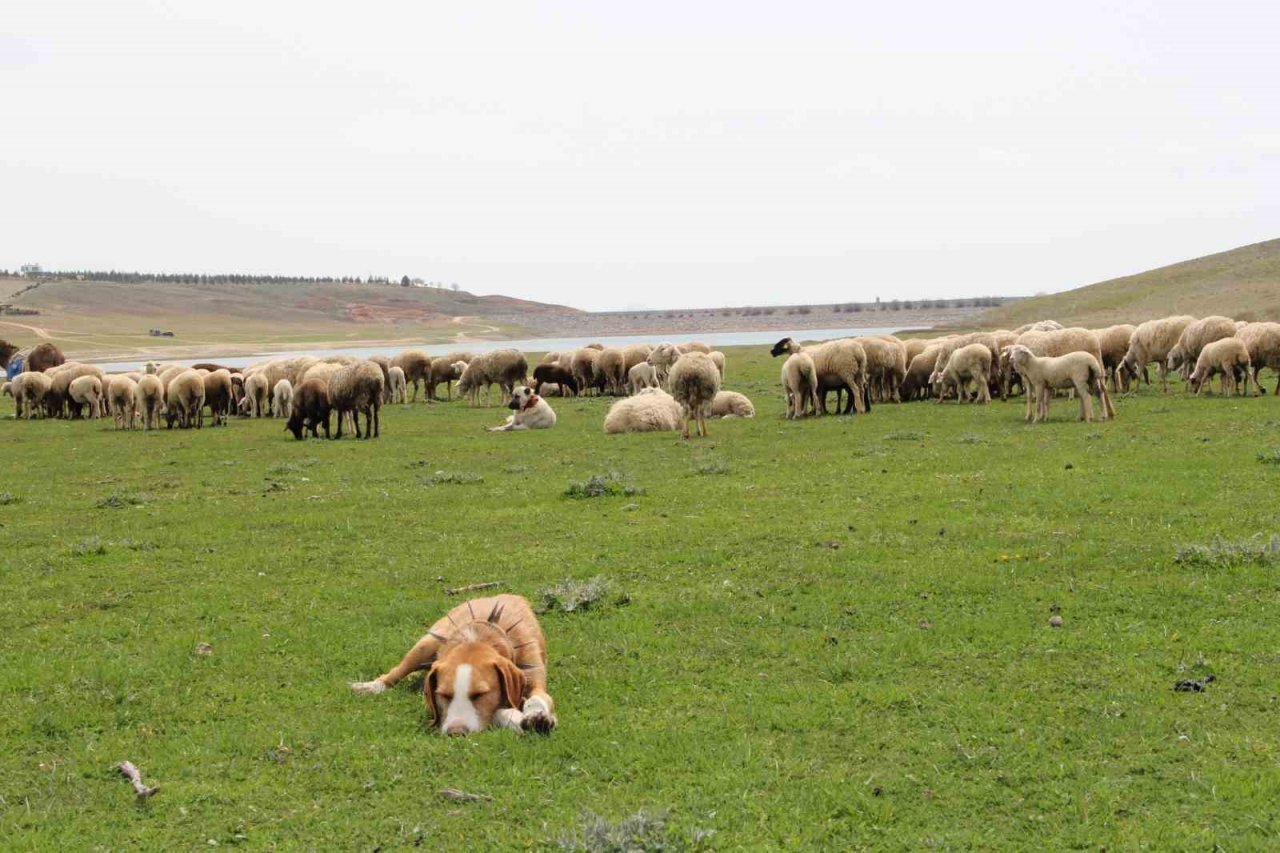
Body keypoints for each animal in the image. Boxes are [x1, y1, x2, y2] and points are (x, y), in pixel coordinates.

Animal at [350, 591, 555, 732]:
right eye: (443, 695)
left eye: (480, 694)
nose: (455, 732)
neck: (481, 636)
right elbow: (497, 711)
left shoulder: (534, 679)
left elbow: (535, 699)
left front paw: (537, 716)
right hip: (426, 644)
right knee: (394, 673)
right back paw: (371, 686)